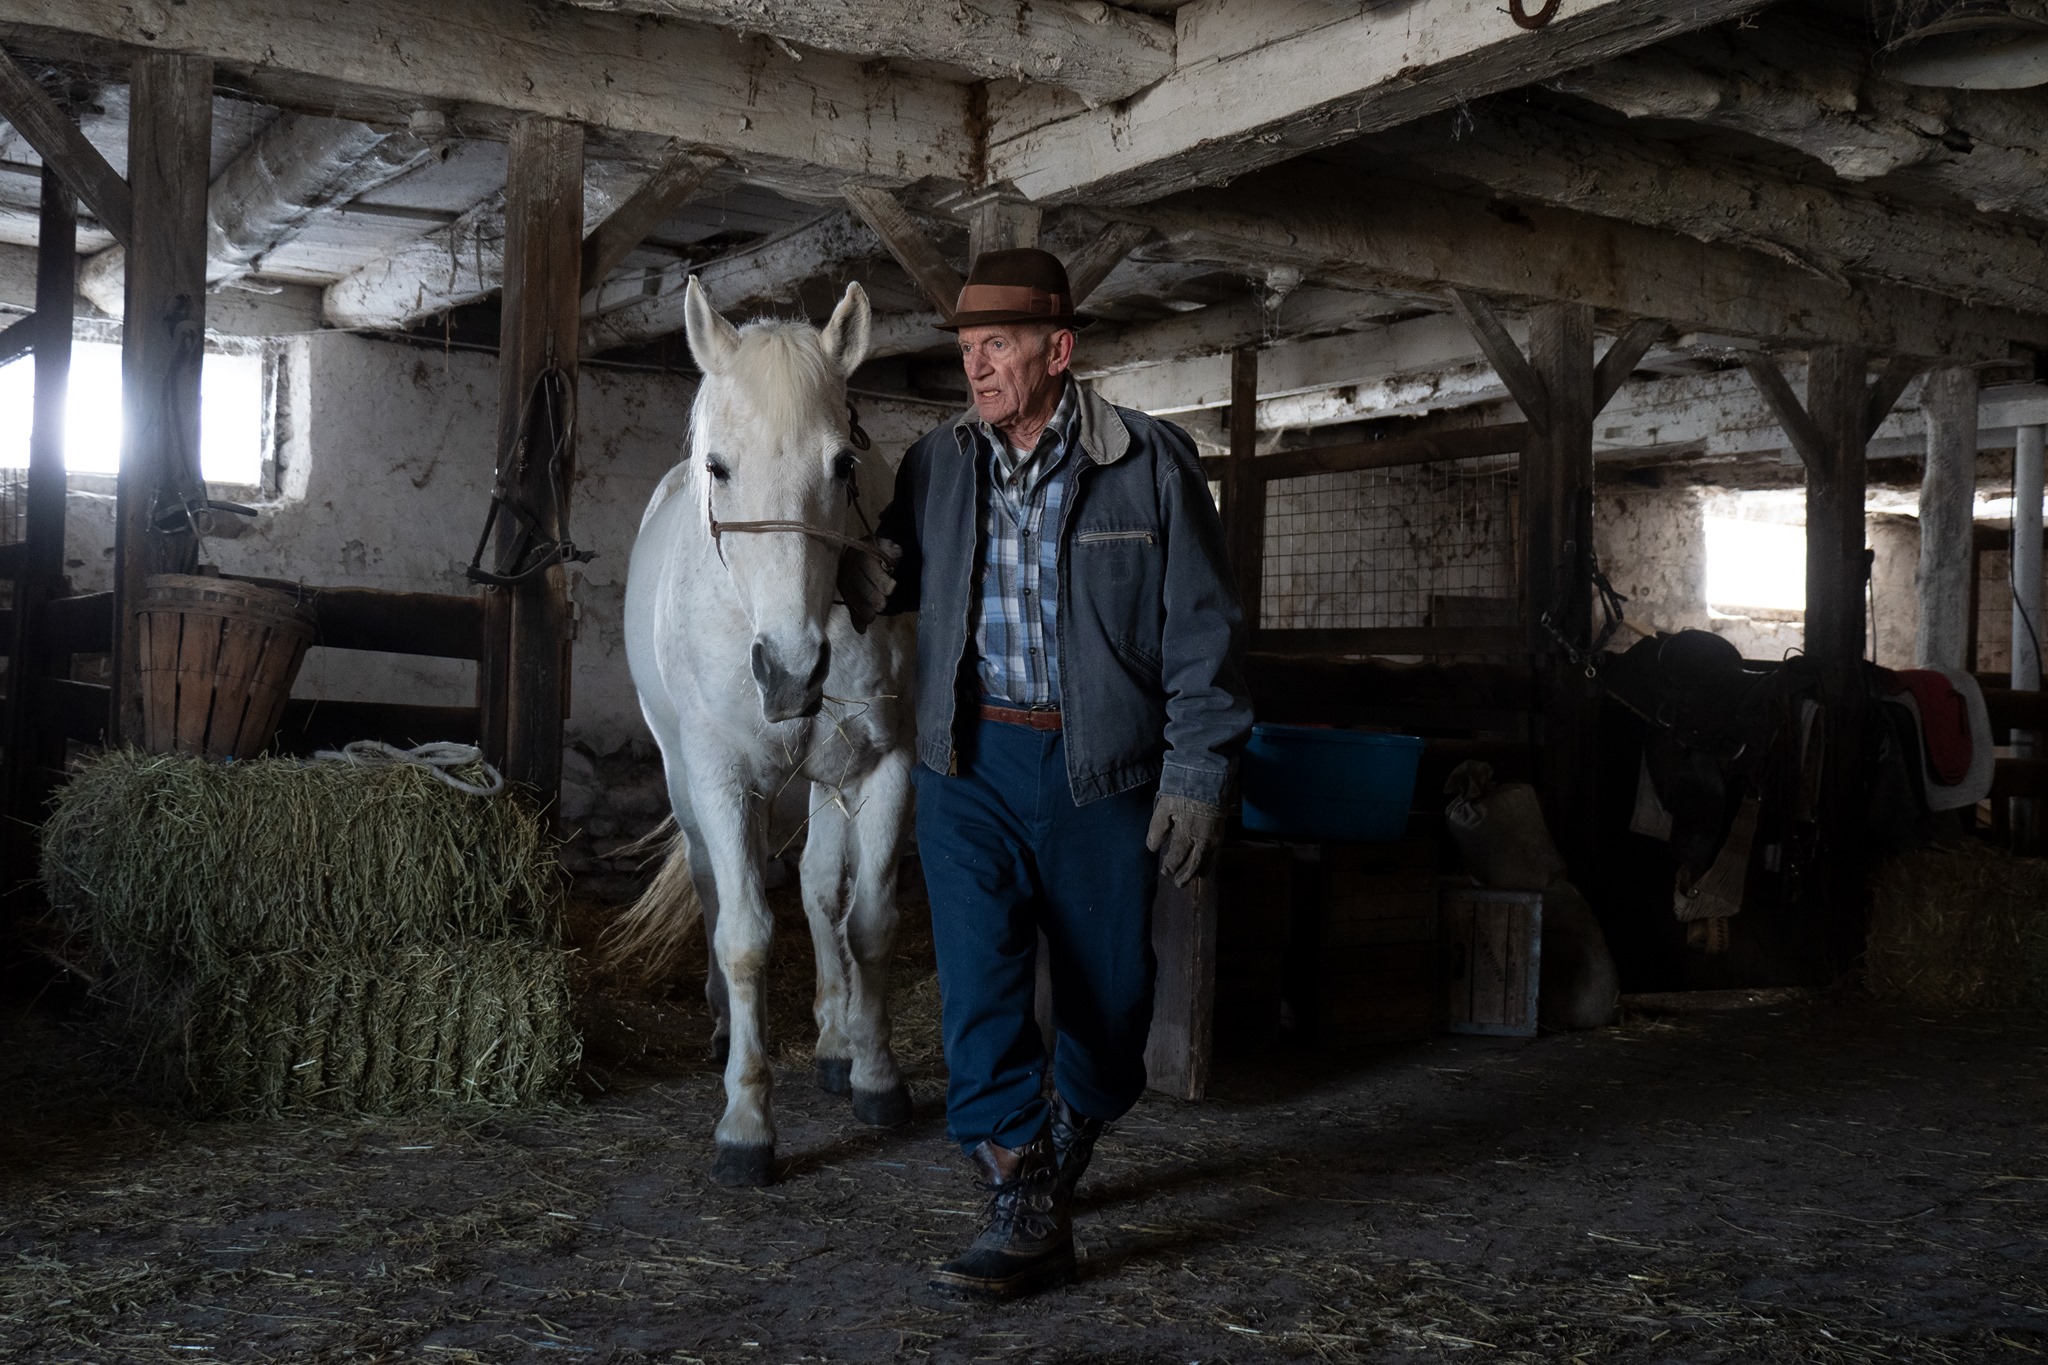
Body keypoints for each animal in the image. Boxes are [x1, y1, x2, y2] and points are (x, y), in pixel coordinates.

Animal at [610, 274, 917, 1186]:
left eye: (844, 463)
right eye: (720, 466)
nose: (790, 668)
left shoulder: (882, 763)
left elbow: (867, 917)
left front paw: (874, 1072)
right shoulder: (718, 778)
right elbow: (745, 936)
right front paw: (746, 1122)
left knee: (818, 889)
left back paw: (835, 1043)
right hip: (684, 779)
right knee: (714, 888)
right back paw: (722, 1027)